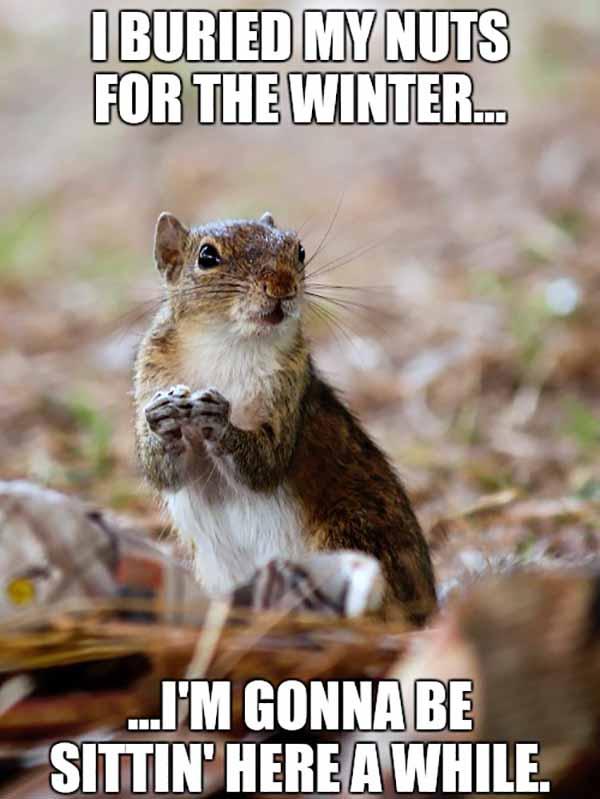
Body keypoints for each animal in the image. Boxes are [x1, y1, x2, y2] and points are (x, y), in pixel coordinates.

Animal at [133, 211, 437, 625]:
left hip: (351, 535)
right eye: (207, 257)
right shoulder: (151, 375)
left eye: (300, 250)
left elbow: (266, 464)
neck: (229, 344)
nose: (281, 286)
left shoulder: (291, 391)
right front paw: (162, 419)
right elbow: (164, 473)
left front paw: (220, 421)